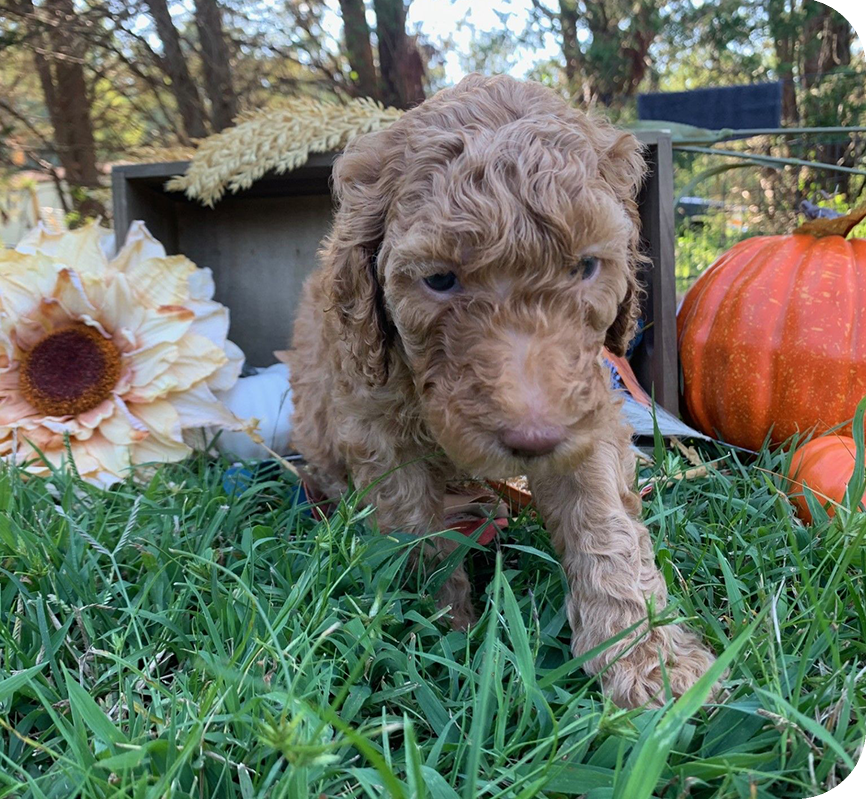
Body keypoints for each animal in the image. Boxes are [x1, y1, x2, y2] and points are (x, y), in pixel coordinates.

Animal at [288, 75, 716, 708]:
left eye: (587, 267)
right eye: (439, 279)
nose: (532, 437)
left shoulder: (582, 411)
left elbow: (604, 524)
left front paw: (646, 658)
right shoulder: (375, 425)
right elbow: (417, 530)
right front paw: (444, 632)